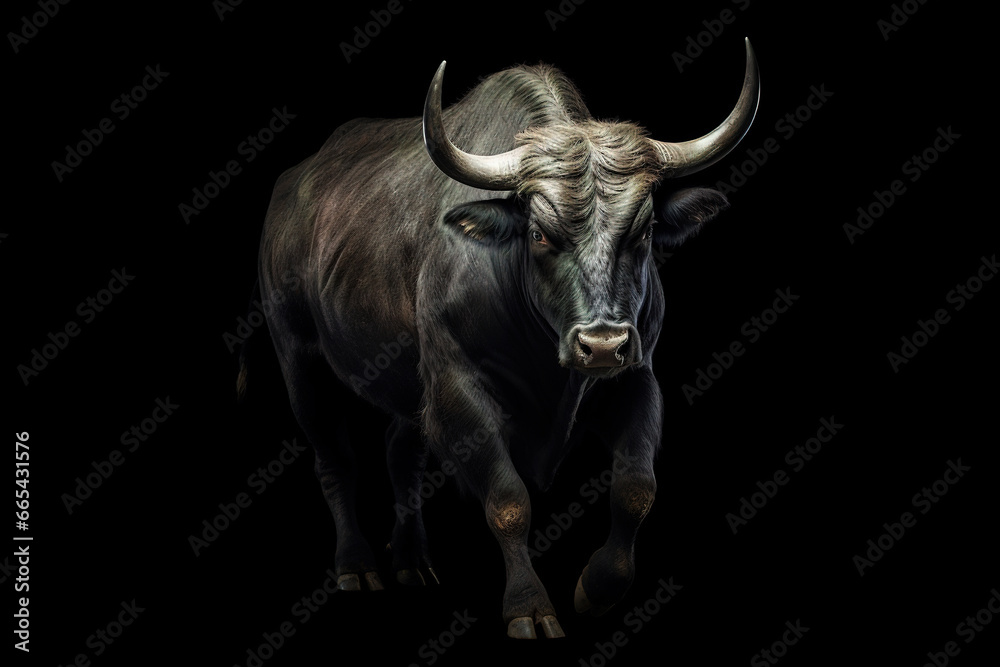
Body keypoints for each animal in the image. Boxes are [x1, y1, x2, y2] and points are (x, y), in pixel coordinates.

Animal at [243, 40, 759, 639]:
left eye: (645, 231)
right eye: (539, 233)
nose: (601, 344)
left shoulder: (638, 378)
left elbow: (636, 489)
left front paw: (597, 588)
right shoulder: (458, 386)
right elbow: (508, 499)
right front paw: (529, 607)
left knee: (401, 454)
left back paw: (413, 562)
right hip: (298, 358)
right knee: (335, 459)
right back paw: (357, 566)